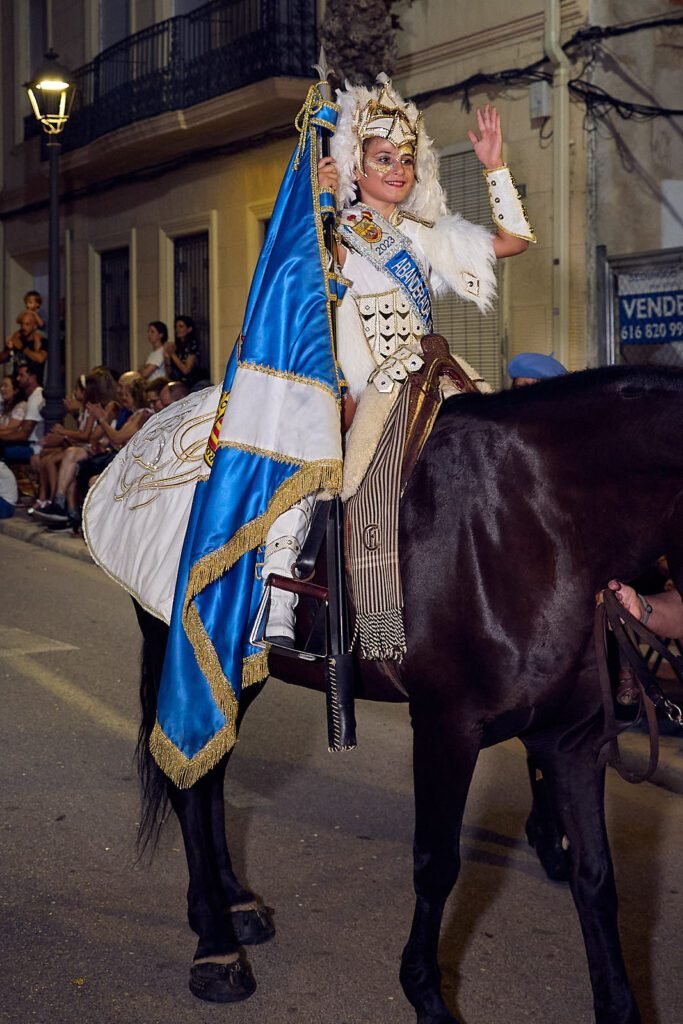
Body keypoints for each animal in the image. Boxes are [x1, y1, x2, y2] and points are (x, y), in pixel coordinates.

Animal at [133, 368, 683, 1024]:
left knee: (210, 772)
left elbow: (596, 876)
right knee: (190, 783)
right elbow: (437, 862)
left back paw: (234, 905)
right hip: (185, 650)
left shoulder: (570, 740)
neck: (543, 521)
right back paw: (216, 948)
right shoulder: (448, 727)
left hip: (240, 673)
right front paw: (425, 991)